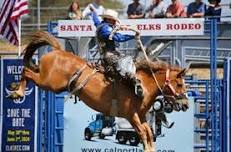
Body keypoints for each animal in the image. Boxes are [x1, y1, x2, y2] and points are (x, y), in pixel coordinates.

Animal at [13, 31, 189, 152]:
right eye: (180, 84)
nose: (186, 104)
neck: (143, 85)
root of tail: (57, 51)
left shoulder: (142, 116)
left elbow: (148, 134)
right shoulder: (131, 115)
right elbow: (143, 133)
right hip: (48, 82)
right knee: (26, 72)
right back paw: (17, 93)